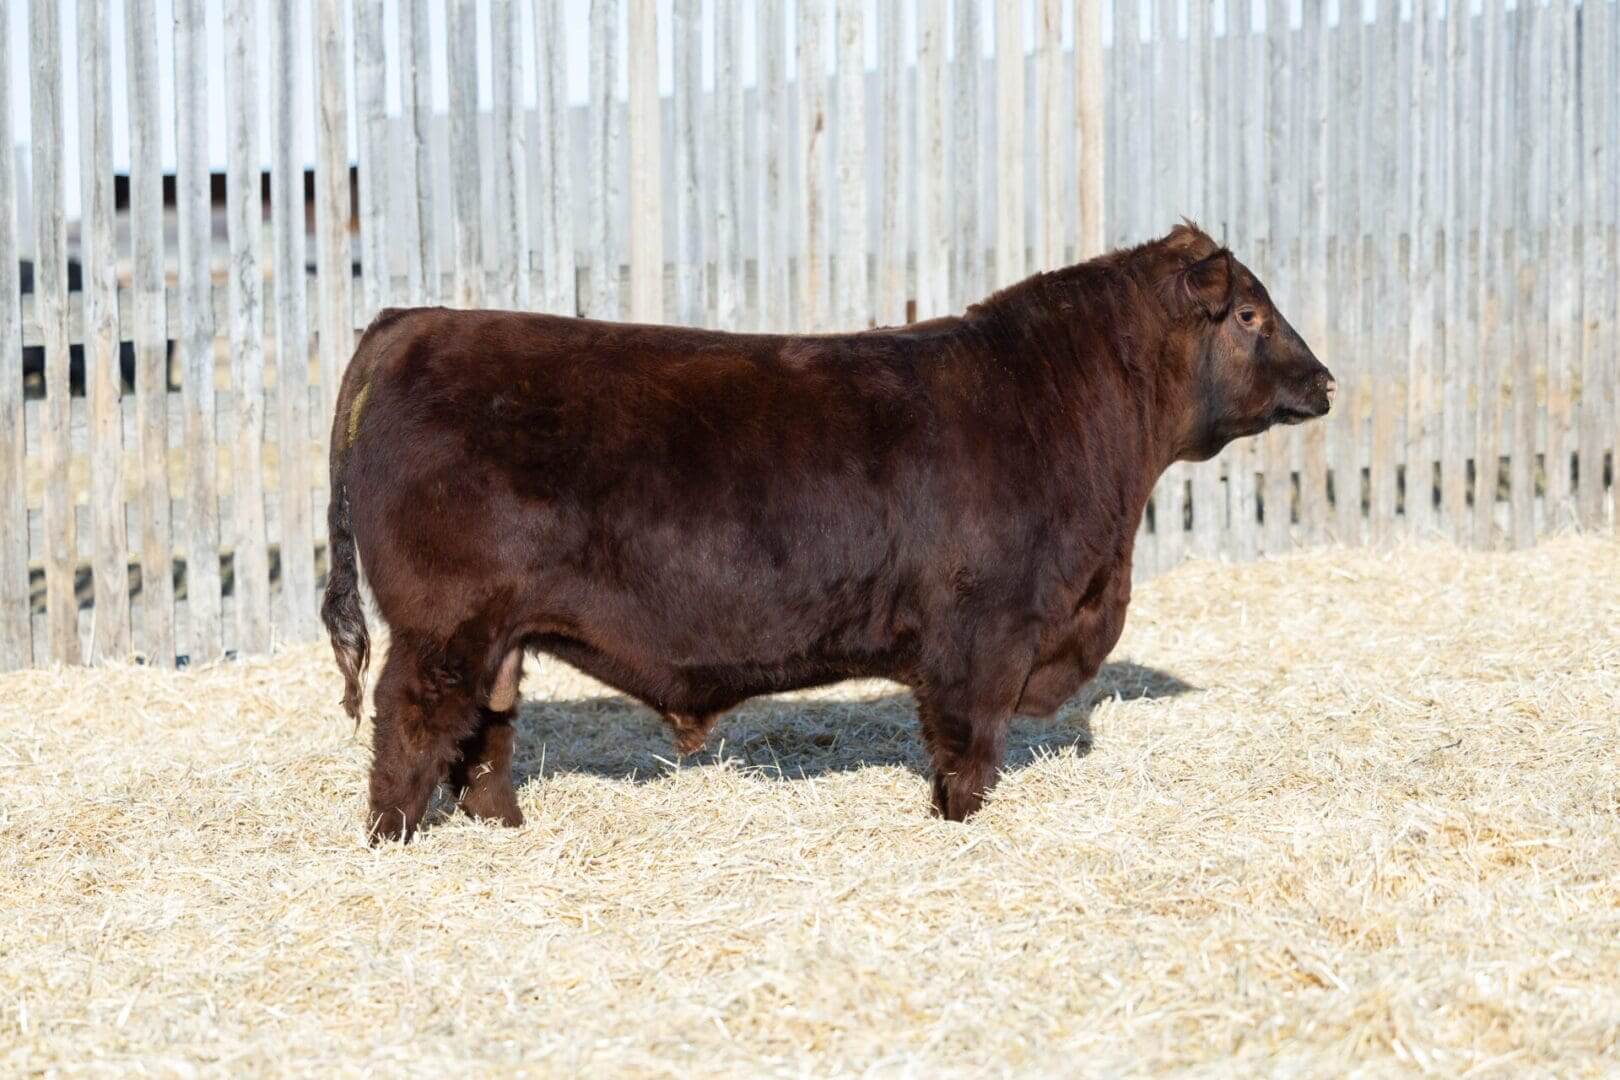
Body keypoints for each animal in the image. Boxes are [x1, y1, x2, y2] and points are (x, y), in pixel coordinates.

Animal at [321, 222, 1334, 843]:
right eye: (1249, 313)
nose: (1325, 380)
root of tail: (412, 321)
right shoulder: (985, 635)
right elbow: (969, 749)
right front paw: (960, 824)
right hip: (443, 625)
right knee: (411, 724)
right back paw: (391, 840)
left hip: (495, 635)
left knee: (483, 733)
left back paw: (504, 829)